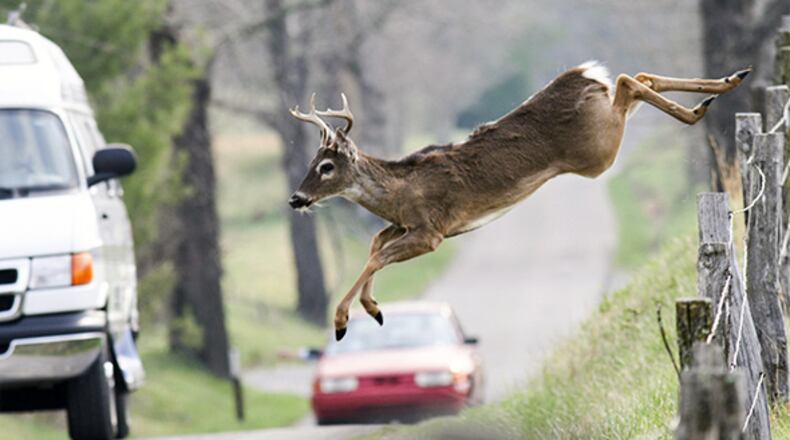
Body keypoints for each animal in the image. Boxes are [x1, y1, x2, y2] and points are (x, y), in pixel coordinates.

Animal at [286, 61, 751, 341]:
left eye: (325, 166)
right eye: (310, 162)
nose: (296, 198)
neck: (399, 191)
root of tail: (584, 75)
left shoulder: (431, 231)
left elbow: (377, 255)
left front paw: (343, 321)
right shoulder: (405, 226)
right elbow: (374, 245)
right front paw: (374, 308)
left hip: (598, 151)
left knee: (627, 80)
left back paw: (701, 106)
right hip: (604, 133)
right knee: (637, 77)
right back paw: (726, 84)